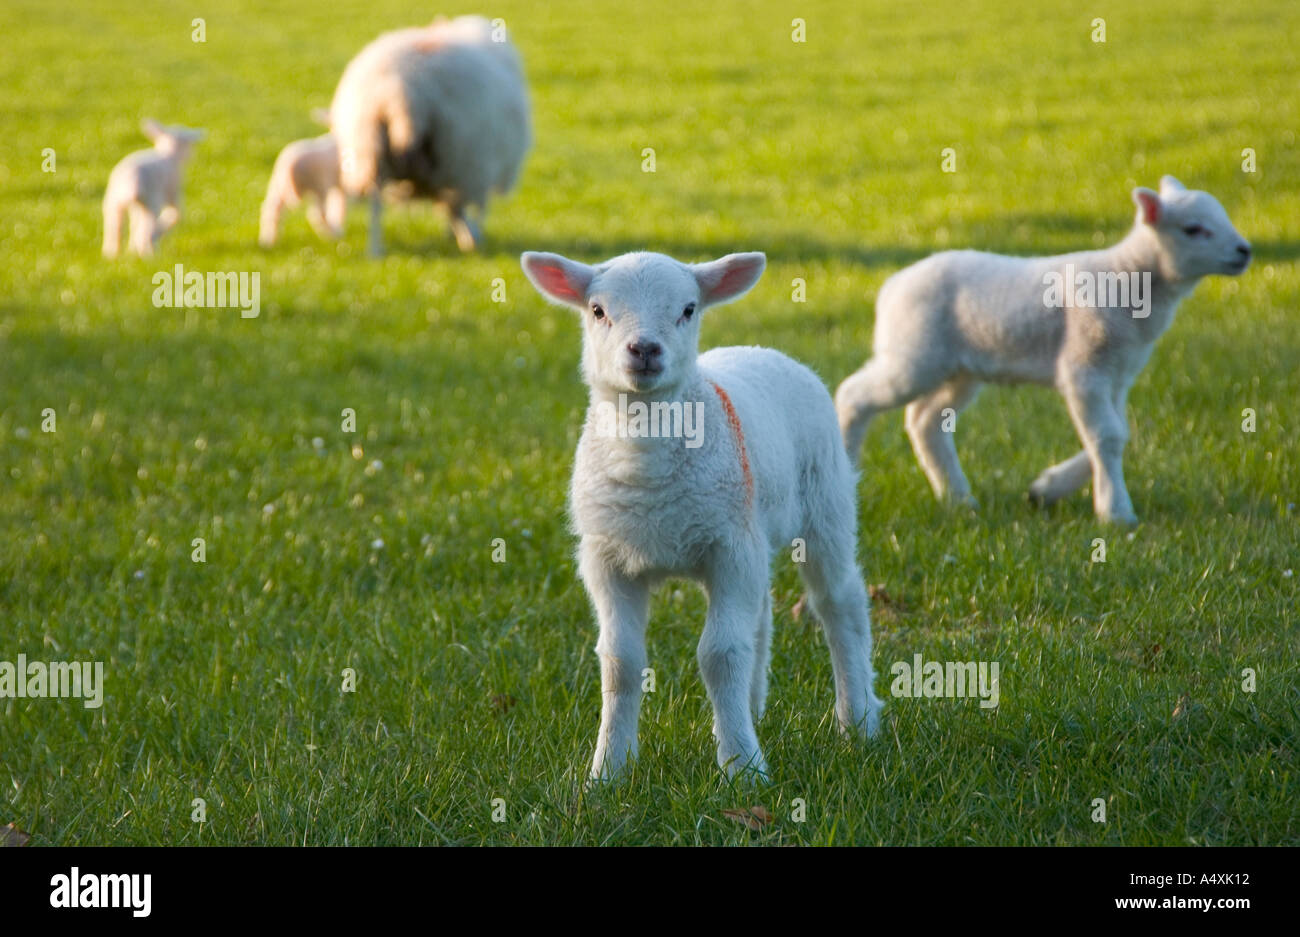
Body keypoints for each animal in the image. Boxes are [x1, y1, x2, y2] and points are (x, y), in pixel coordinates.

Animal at [102, 119, 204, 258]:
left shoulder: (136, 205)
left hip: (114, 202)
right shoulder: (172, 192)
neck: (168, 153)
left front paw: (132, 249)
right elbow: (176, 215)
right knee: (146, 228)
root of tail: (132, 181)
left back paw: (112, 255)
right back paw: (148, 253)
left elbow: (134, 224)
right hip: (152, 200)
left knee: (115, 228)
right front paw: (156, 234)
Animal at [329, 15, 530, 257]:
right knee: (465, 203)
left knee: (376, 201)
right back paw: (471, 239)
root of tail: (400, 91)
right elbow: (474, 207)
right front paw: (471, 237)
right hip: (462, 155)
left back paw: (375, 251)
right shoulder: (483, 167)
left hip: (369, 147)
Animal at [520, 249, 884, 781]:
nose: (644, 349)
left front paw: (742, 768)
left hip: (825, 504)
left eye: (688, 309)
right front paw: (607, 772)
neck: (647, 465)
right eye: (597, 310)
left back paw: (857, 720)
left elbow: (719, 655)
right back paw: (752, 709)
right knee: (762, 613)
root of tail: (761, 350)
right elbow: (620, 663)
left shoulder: (728, 550)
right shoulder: (607, 560)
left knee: (840, 603)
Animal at [835, 176, 1252, 525]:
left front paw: (1046, 489)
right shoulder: (1084, 367)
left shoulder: (1119, 373)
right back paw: (849, 470)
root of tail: (890, 287)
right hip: (914, 354)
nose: (1245, 251)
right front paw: (1116, 512)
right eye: (1193, 229)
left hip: (959, 369)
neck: (1129, 278)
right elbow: (1107, 436)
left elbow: (1119, 431)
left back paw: (958, 500)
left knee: (926, 421)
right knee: (853, 395)